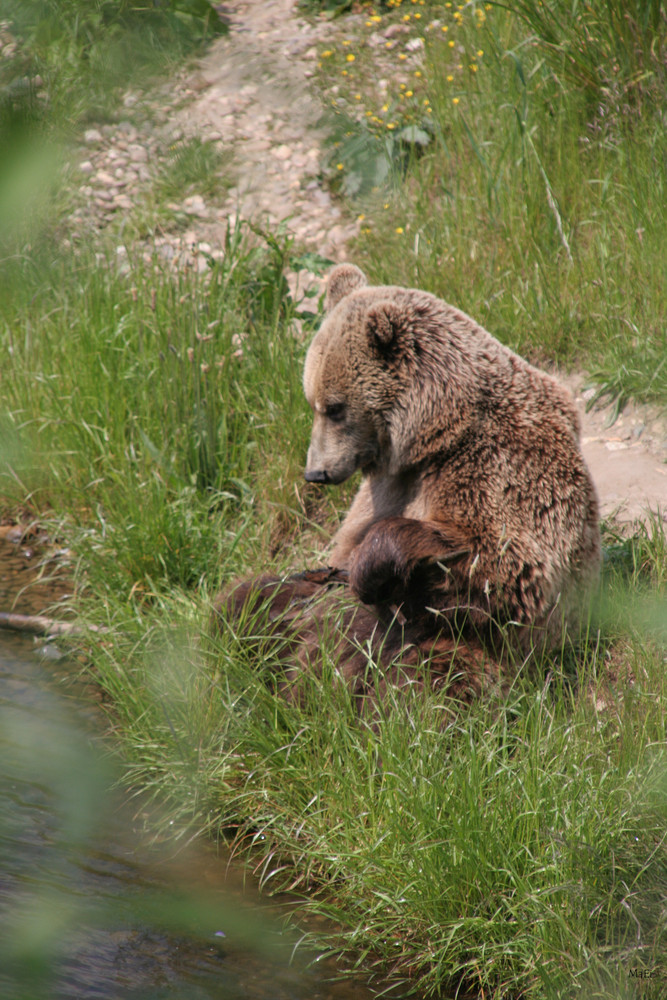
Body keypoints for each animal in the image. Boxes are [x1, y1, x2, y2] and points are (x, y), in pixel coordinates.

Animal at [217, 262, 604, 708]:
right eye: (312, 401)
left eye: (334, 408)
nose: (315, 472)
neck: (434, 433)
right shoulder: (385, 486)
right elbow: (339, 549)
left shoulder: (497, 462)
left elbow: (506, 566)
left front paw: (371, 569)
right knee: (248, 600)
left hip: (458, 652)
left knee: (428, 675)